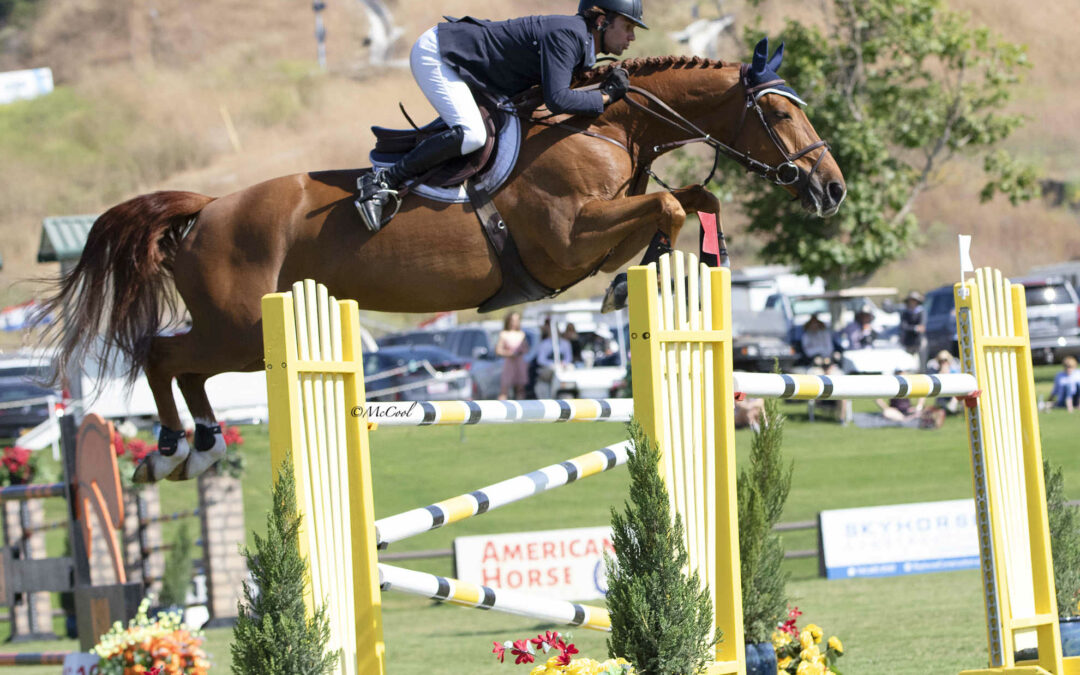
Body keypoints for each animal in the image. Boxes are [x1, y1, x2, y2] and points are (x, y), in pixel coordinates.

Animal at [39, 52, 842, 483]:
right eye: (780, 114)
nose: (831, 188)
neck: (608, 123)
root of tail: (207, 209)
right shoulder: (568, 240)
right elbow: (670, 209)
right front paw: (627, 285)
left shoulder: (604, 224)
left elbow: (693, 199)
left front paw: (701, 258)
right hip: (239, 328)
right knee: (162, 354)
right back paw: (170, 450)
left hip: (239, 332)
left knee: (186, 368)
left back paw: (201, 449)